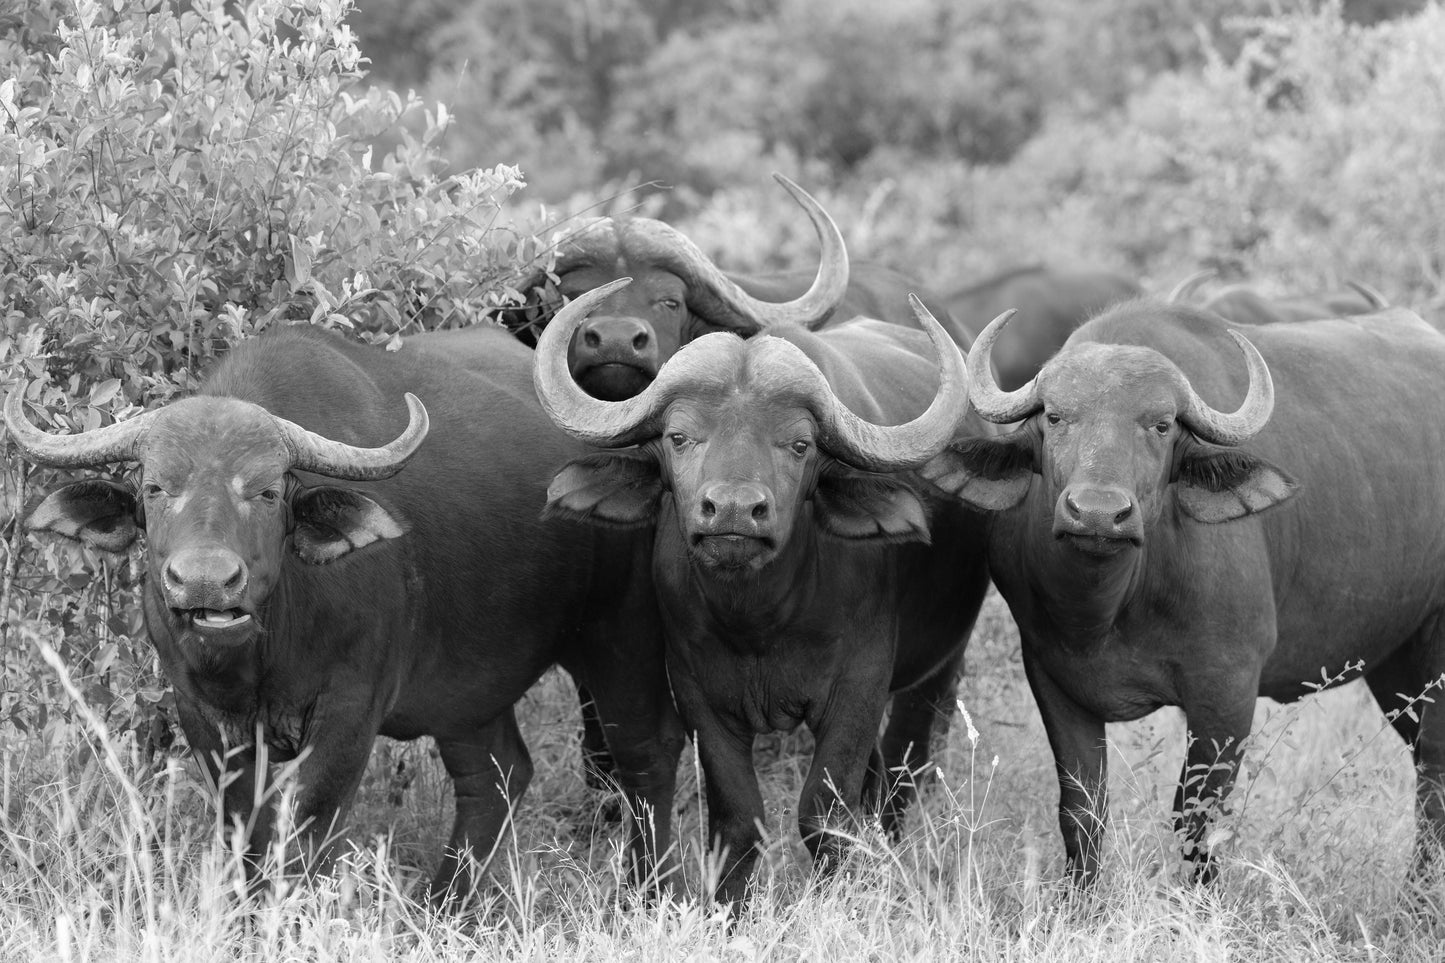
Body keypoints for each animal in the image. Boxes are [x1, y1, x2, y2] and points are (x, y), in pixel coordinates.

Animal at [5, 324, 683, 902]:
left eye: (267, 491)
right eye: (154, 487)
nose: (206, 583)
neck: (268, 646)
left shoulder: (351, 710)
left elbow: (306, 826)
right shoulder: (201, 711)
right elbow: (244, 827)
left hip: (623, 639)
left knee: (646, 759)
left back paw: (649, 894)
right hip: (470, 685)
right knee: (497, 775)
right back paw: (444, 907)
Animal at [533, 279, 991, 904]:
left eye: (798, 444)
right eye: (679, 437)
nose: (732, 510)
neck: (761, 619)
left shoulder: (860, 685)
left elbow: (825, 813)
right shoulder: (699, 693)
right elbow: (739, 815)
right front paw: (729, 905)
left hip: (942, 664)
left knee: (909, 763)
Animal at [922, 301, 1445, 886]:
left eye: (1161, 424)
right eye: (1055, 417)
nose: (1099, 513)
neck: (1108, 608)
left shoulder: (1228, 690)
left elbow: (1196, 816)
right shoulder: (1053, 679)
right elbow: (1082, 808)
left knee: (1435, 773)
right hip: (1397, 665)